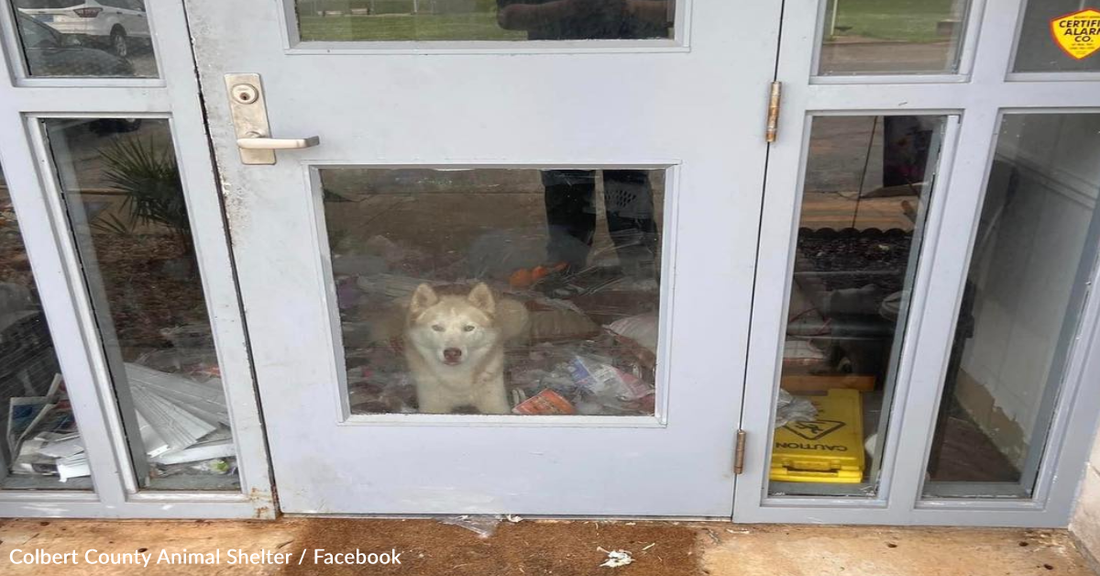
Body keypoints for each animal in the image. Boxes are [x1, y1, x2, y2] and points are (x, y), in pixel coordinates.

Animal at [404, 281, 528, 413]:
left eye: (469, 328)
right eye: (437, 328)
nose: (452, 353)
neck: (458, 381)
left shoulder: (496, 403)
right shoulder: (432, 405)